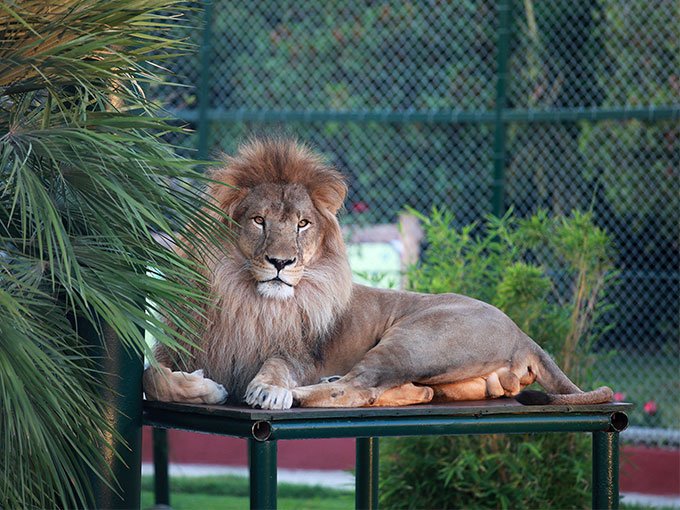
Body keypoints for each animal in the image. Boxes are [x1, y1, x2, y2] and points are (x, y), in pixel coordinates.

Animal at [141, 139, 612, 410]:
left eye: (302, 225)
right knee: (402, 391)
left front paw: (262, 388)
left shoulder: (295, 354)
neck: (247, 297)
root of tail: (523, 334)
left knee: (357, 387)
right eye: (259, 221)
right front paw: (202, 386)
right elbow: (152, 377)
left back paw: (295, 393)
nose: (281, 263)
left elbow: (275, 367)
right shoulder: (174, 346)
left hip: (414, 341)